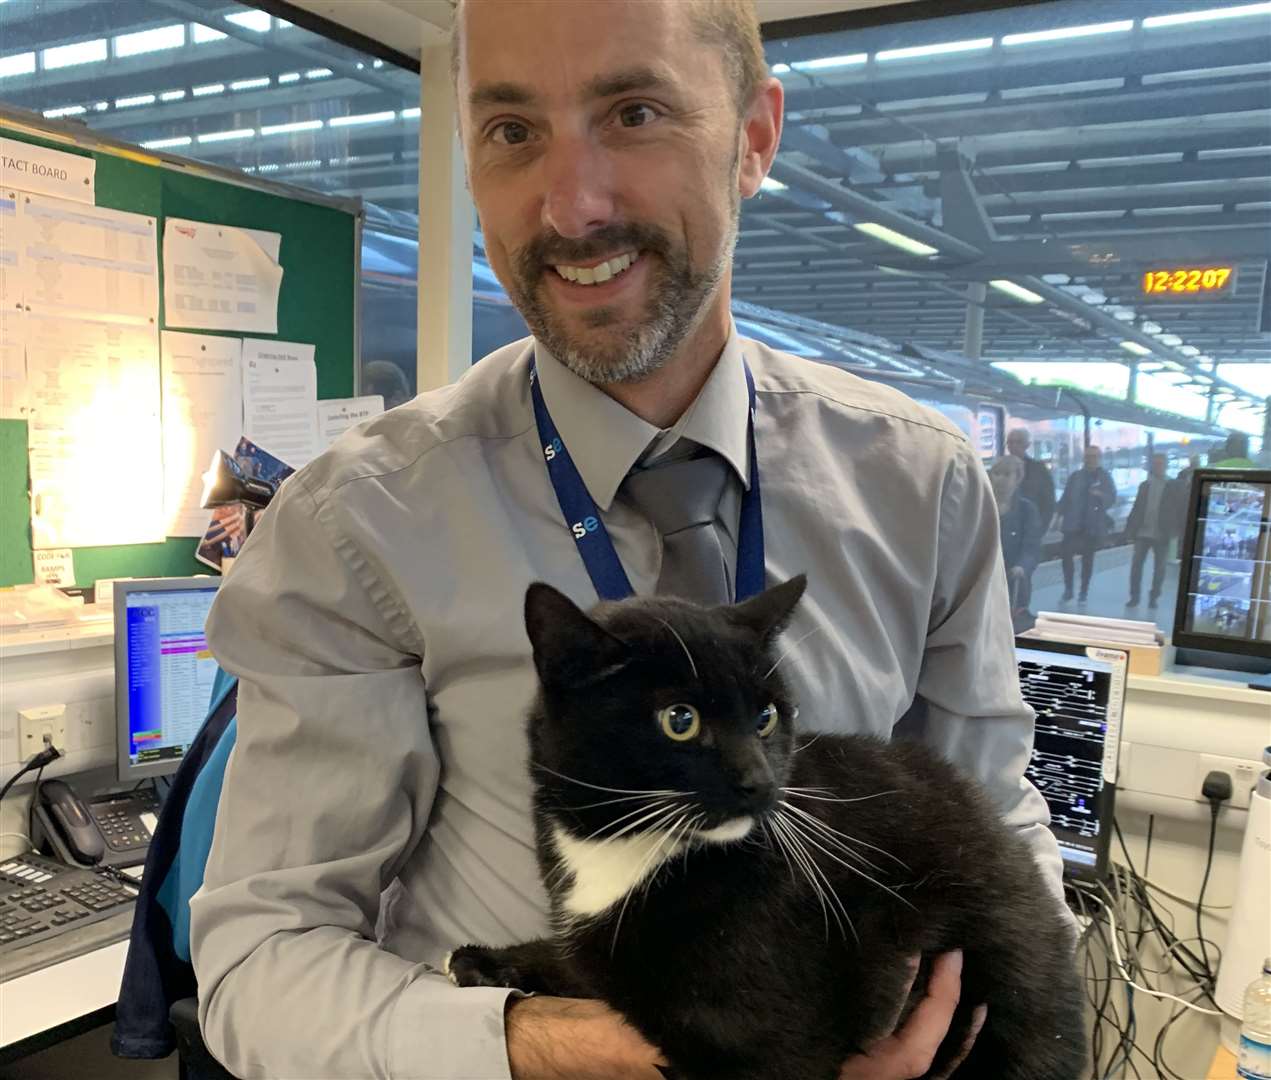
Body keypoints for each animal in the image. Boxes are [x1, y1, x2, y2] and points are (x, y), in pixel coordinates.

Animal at [447, 571, 1082, 1077]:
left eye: (767, 716)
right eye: (680, 719)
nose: (760, 782)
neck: (634, 849)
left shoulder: (773, 1042)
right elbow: (582, 962)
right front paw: (489, 962)